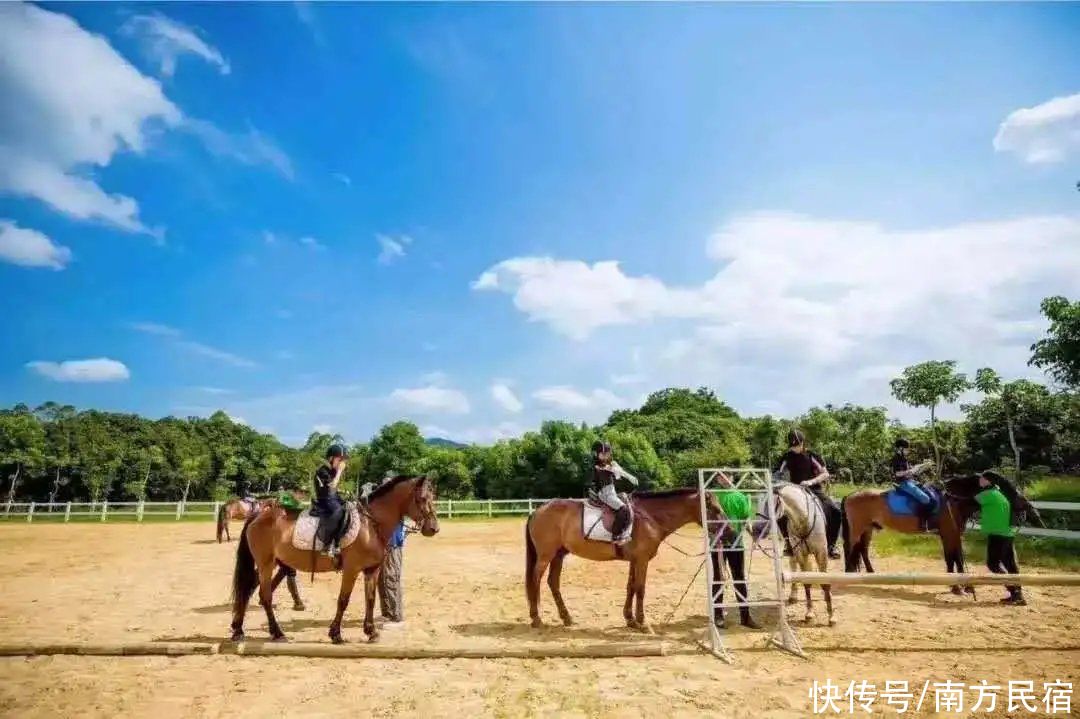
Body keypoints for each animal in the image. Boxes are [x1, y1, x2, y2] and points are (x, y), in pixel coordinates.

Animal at [231, 472, 438, 639]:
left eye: (433, 497)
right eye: (421, 498)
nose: (434, 528)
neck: (370, 526)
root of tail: (258, 515)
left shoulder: (372, 570)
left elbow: (370, 600)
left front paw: (371, 631)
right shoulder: (351, 569)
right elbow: (343, 600)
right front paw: (336, 633)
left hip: (270, 563)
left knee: (249, 589)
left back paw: (238, 629)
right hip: (265, 563)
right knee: (265, 595)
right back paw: (276, 632)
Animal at [524, 487, 734, 634]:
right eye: (715, 509)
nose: (730, 532)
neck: (649, 517)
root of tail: (538, 510)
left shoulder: (634, 560)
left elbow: (630, 587)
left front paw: (630, 619)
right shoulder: (642, 560)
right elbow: (640, 588)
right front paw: (643, 623)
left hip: (558, 555)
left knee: (553, 582)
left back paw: (566, 618)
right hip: (545, 555)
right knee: (535, 580)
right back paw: (536, 618)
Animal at [838, 472, 1041, 591]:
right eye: (1011, 490)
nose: (1033, 513)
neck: (953, 500)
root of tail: (850, 495)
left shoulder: (951, 534)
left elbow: (952, 558)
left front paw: (959, 586)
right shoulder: (950, 533)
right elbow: (955, 557)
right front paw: (959, 587)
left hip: (868, 529)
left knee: (862, 550)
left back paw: (869, 574)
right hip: (857, 529)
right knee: (850, 548)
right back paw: (847, 575)